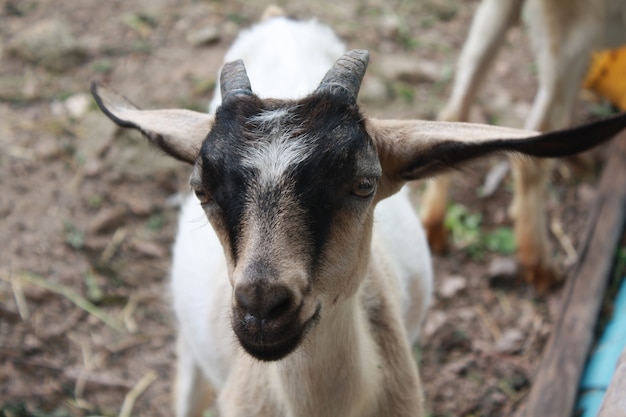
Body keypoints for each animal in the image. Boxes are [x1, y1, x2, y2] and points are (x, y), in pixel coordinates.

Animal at [416, 0, 624, 292]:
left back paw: (434, 221)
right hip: (573, 33)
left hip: (503, 11)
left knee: (454, 112)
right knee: (537, 147)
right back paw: (538, 262)